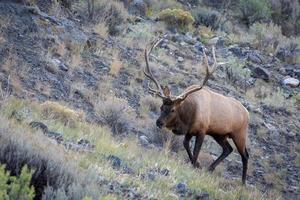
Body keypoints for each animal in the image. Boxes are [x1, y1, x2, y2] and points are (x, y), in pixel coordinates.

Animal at [144, 37, 250, 184]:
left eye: (173, 109)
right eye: (161, 107)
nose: (159, 122)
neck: (187, 117)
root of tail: (247, 113)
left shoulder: (202, 130)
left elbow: (196, 150)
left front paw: (195, 165)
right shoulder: (190, 131)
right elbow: (186, 144)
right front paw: (198, 164)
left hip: (239, 134)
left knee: (245, 155)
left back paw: (243, 182)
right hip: (219, 134)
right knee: (227, 149)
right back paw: (210, 168)